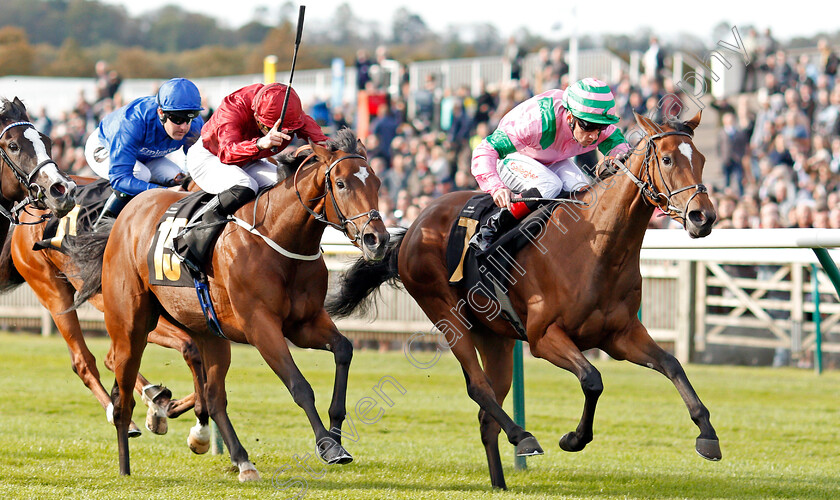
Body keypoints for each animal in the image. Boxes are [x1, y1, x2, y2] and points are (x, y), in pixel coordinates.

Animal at [0, 178, 203, 440]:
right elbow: (189, 347)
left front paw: (166, 406)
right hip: (52, 290)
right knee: (83, 361)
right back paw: (126, 417)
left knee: (110, 358)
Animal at [66, 129, 390, 480]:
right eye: (341, 184)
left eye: (377, 183)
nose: (377, 239)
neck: (279, 237)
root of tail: (124, 217)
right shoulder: (261, 326)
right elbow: (299, 385)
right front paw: (328, 446)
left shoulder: (305, 324)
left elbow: (344, 349)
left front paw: (336, 434)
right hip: (131, 323)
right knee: (122, 393)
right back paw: (126, 463)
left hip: (209, 331)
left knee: (213, 395)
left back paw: (239, 458)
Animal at [328, 112, 720, 488]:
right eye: (667, 159)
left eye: (701, 159)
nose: (703, 216)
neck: (595, 247)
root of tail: (414, 225)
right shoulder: (544, 337)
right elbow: (592, 379)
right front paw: (573, 438)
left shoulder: (621, 335)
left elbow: (672, 364)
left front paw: (708, 436)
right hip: (446, 313)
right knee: (478, 386)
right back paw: (523, 436)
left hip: (494, 336)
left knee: (487, 412)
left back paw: (501, 482)